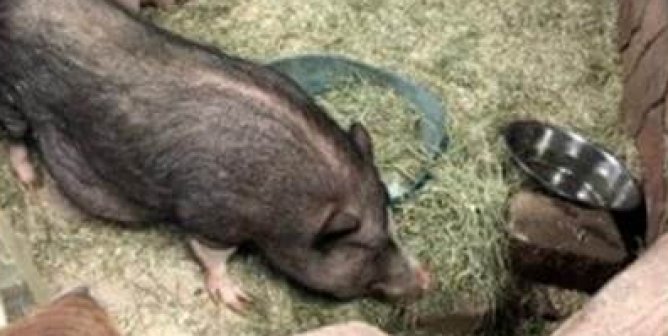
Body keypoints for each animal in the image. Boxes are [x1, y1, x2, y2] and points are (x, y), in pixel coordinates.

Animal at [0, 0, 430, 312]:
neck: (287, 205)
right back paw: (30, 179)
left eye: (394, 228)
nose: (429, 280)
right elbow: (212, 253)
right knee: (15, 137)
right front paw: (240, 302)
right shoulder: (209, 213)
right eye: (368, 248)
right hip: (12, 99)